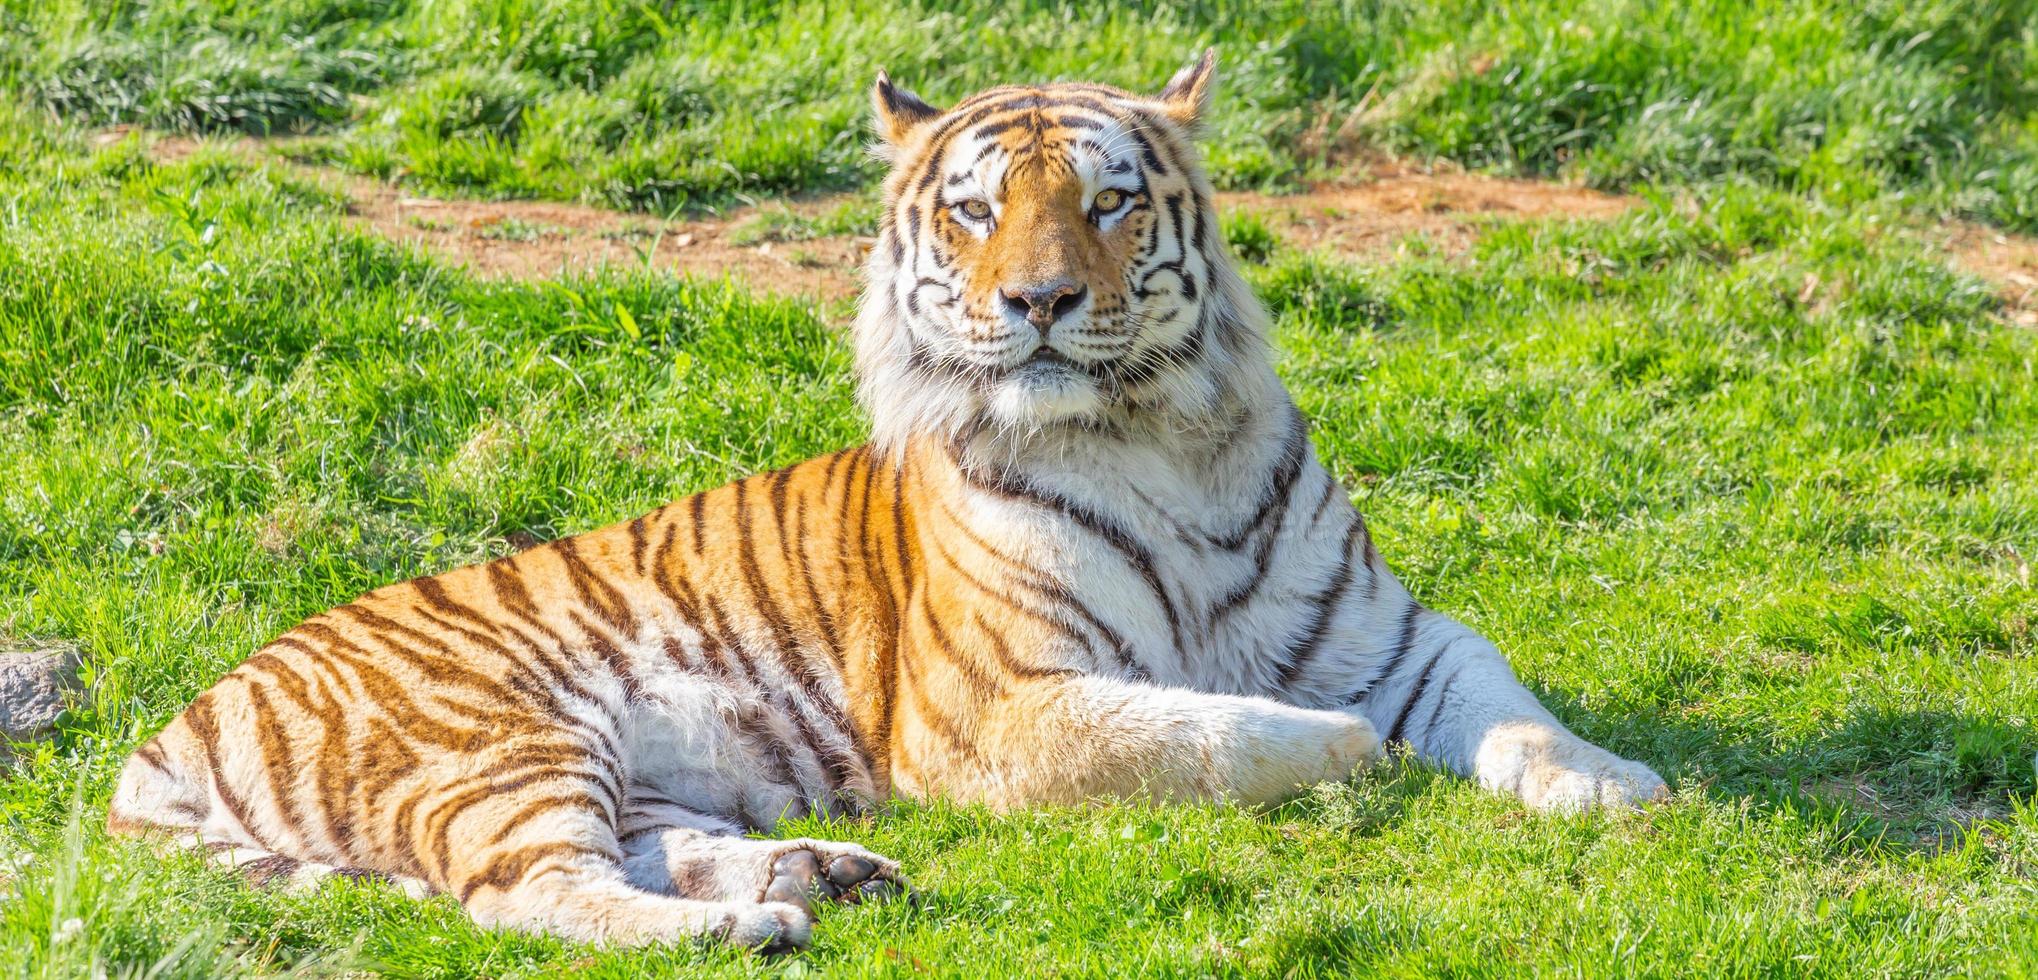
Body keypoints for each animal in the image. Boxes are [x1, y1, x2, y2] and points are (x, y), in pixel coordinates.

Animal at [111, 51, 1663, 945]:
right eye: (976, 210)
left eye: (1107, 201)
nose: (1037, 302)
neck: (1158, 434)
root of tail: (173, 723)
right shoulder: (999, 705)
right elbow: (1211, 733)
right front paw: (1344, 754)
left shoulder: (1393, 636)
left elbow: (1508, 706)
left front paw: (1620, 788)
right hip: (495, 741)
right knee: (524, 896)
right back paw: (744, 931)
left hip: (618, 766)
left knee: (646, 848)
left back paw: (818, 877)